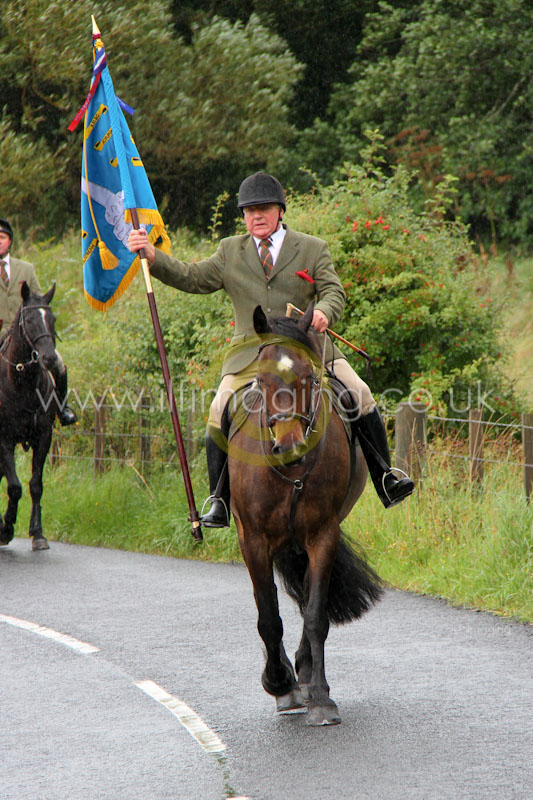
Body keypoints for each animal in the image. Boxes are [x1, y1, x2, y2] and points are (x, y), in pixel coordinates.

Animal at [229, 302, 382, 724]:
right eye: (261, 380)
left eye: (307, 378)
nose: (290, 445)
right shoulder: (253, 541)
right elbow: (268, 616)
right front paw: (279, 682)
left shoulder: (323, 535)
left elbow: (316, 615)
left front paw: (320, 696)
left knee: (311, 601)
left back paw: (305, 671)